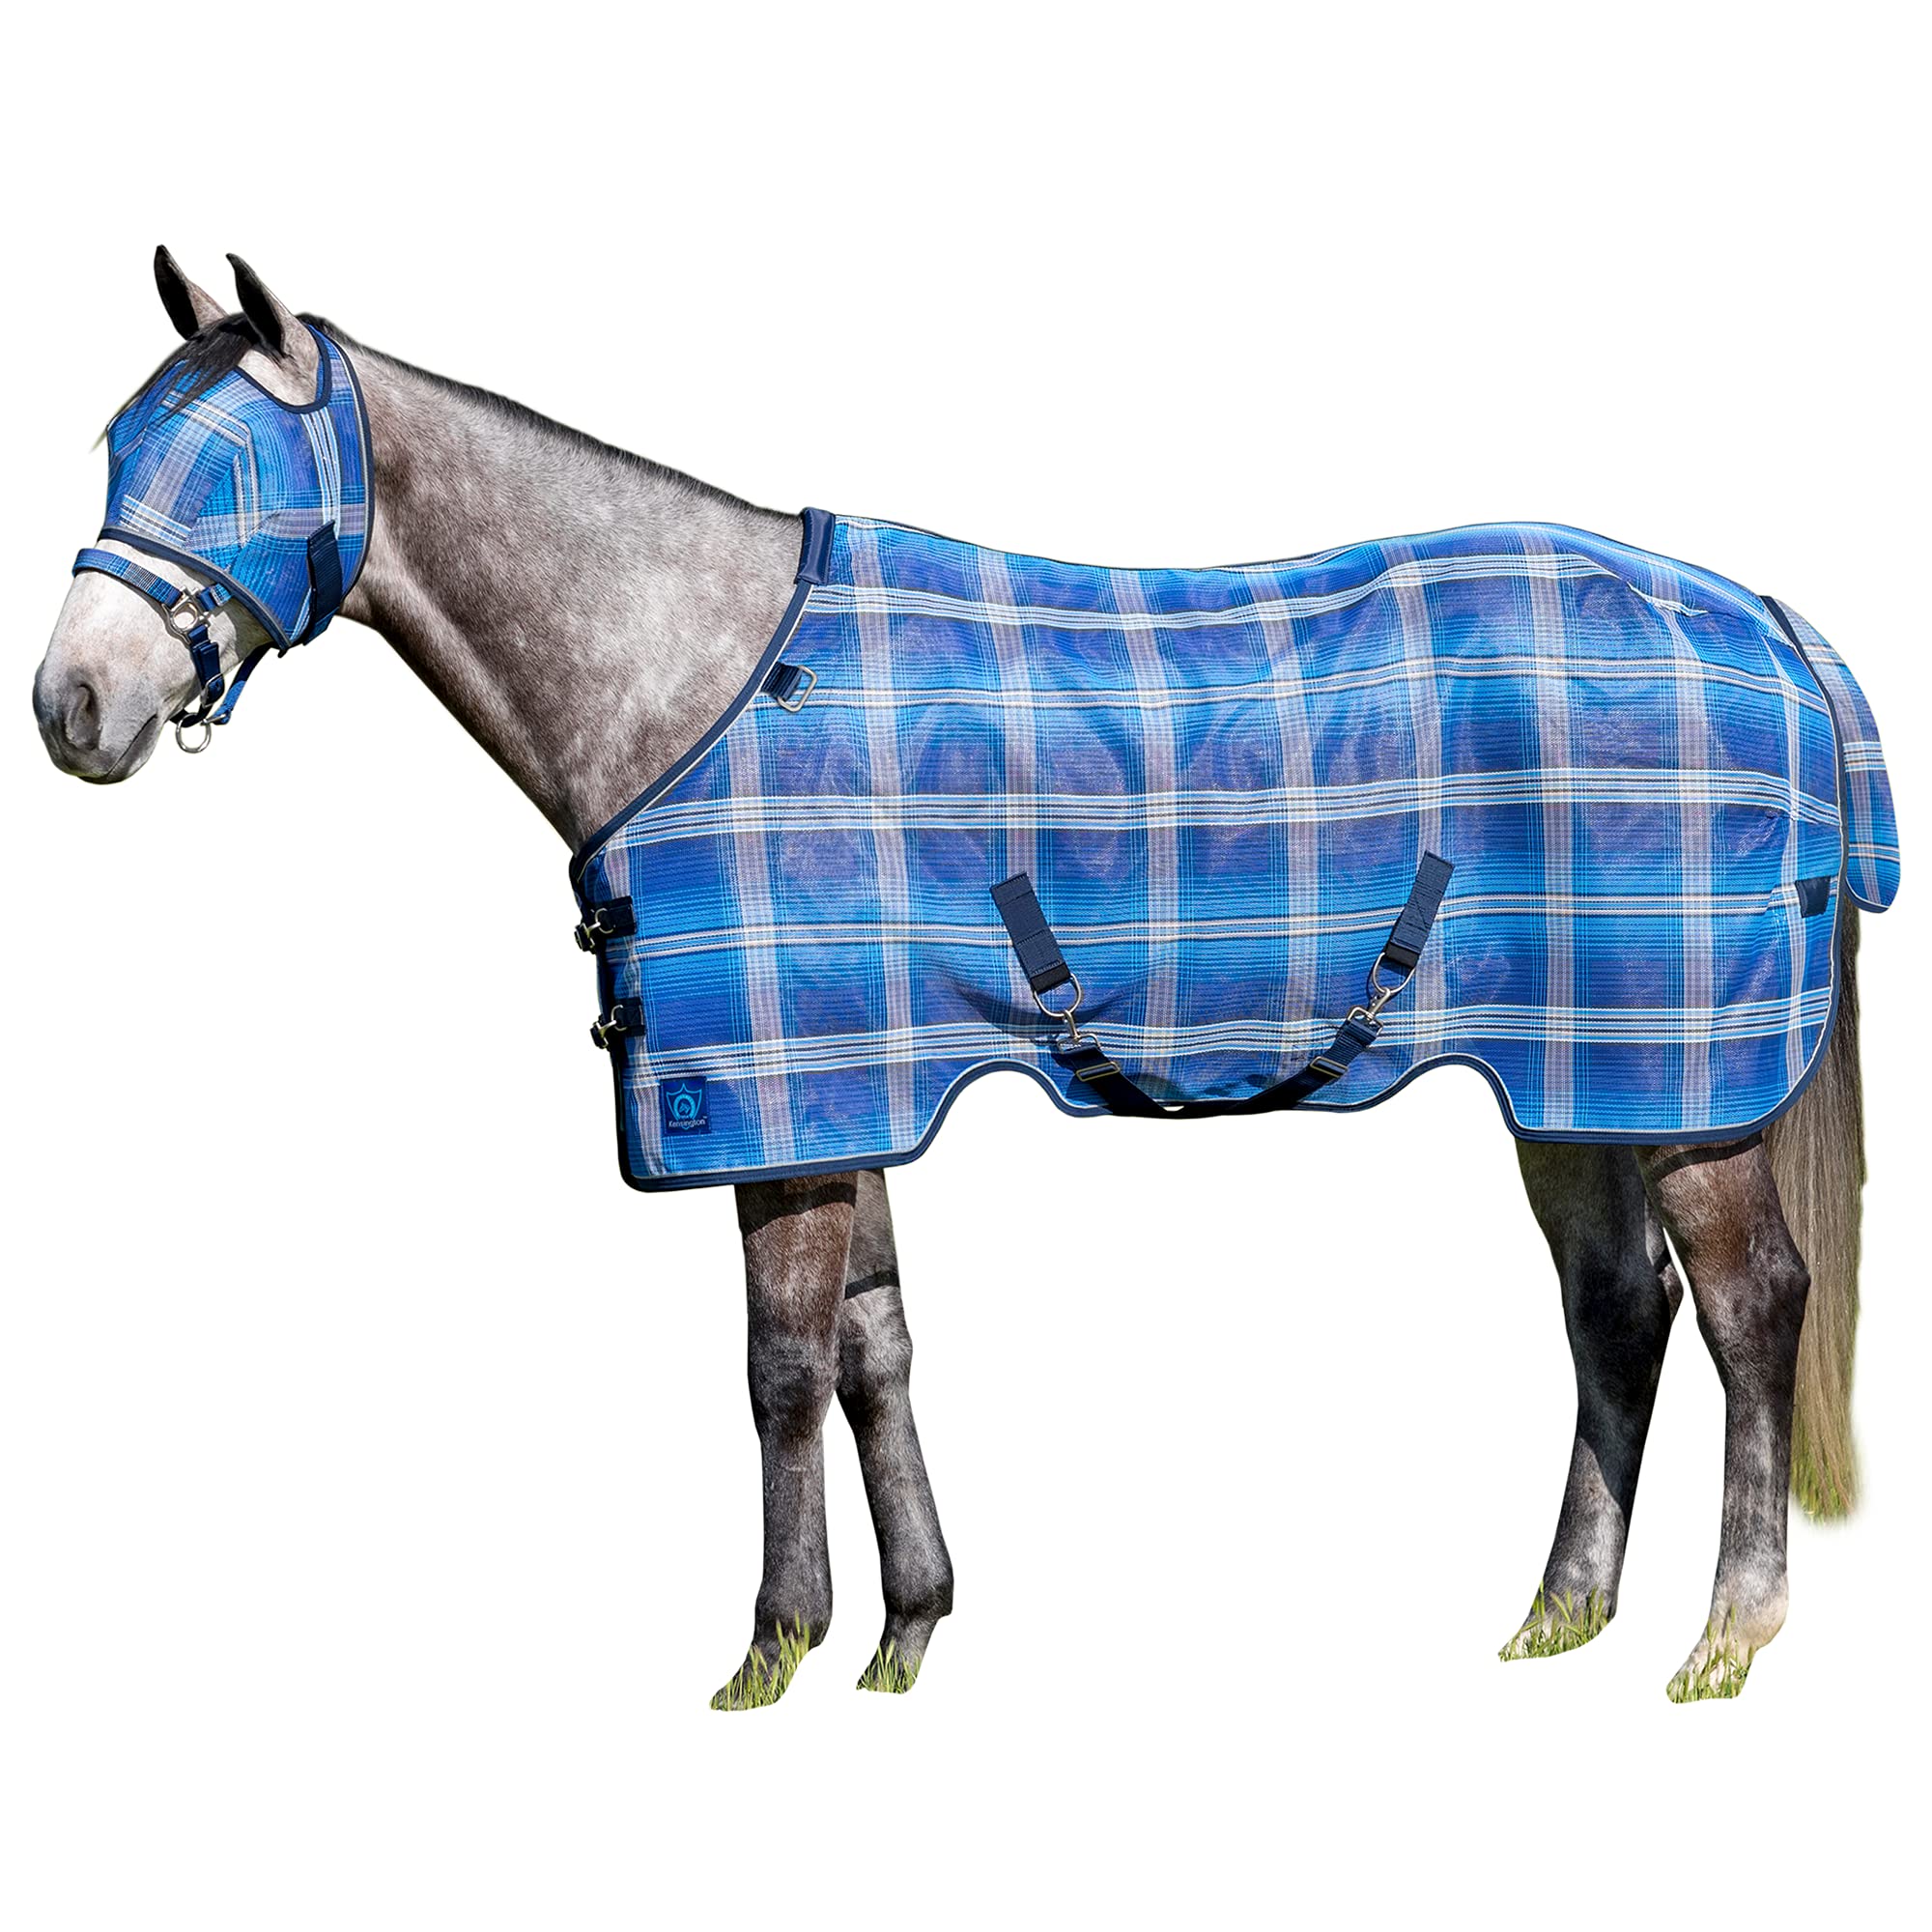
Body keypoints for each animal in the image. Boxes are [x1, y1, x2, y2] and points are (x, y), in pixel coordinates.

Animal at [33, 250, 1885, 1707]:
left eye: (238, 467)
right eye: (125, 447)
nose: (71, 707)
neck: (691, 681)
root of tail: (1772, 625)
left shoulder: (777, 1110)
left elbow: (780, 1372)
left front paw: (771, 1652)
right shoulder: (844, 1104)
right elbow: (876, 1351)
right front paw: (905, 1633)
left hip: (1689, 1088)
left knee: (1747, 1308)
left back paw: (1724, 1638)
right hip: (1574, 1085)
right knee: (1617, 1310)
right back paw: (1559, 1617)